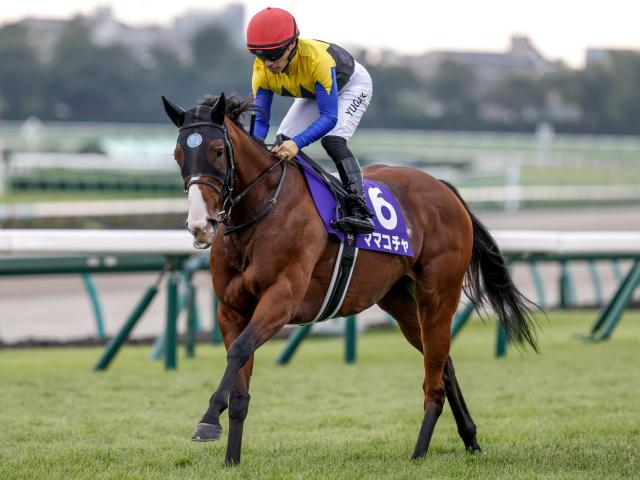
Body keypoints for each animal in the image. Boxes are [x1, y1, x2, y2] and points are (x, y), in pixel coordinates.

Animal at [162, 93, 538, 465]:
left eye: (218, 151)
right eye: (178, 154)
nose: (200, 223)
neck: (259, 211)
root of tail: (443, 188)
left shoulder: (282, 299)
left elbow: (240, 350)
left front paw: (208, 420)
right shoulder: (231, 309)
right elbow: (240, 380)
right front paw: (231, 459)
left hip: (439, 294)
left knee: (434, 380)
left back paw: (418, 453)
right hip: (401, 303)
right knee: (444, 365)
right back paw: (470, 438)